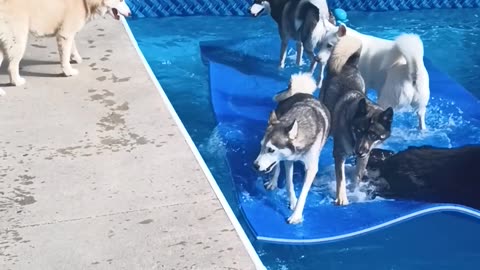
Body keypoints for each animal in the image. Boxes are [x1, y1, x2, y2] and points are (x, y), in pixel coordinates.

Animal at [0, 0, 131, 86]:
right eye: (120, 0)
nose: (130, 14)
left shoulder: (69, 31)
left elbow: (71, 46)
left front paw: (76, 58)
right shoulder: (65, 33)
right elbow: (65, 53)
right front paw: (68, 71)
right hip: (17, 35)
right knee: (13, 63)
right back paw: (17, 81)